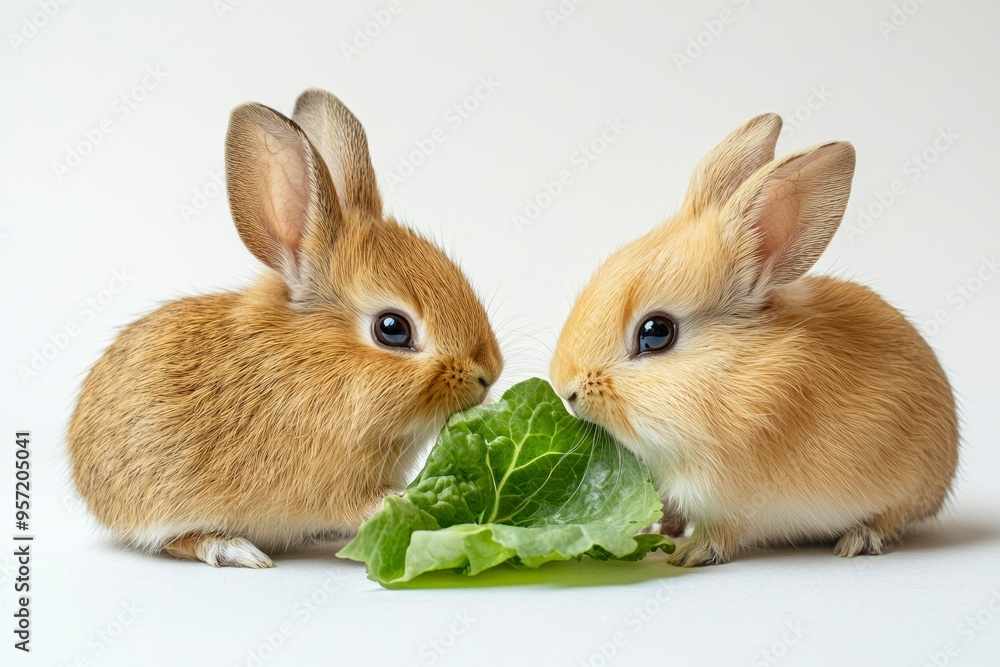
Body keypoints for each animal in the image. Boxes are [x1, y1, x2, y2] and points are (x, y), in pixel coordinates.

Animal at [68, 89, 503, 568]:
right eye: (392, 329)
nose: (488, 374)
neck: (318, 364)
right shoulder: (333, 481)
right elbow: (364, 504)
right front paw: (411, 502)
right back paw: (235, 550)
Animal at [550, 113, 958, 566]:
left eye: (656, 333)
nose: (565, 389)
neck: (732, 374)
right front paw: (654, 530)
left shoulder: (730, 501)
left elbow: (722, 535)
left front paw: (689, 555)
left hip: (905, 492)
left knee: (891, 519)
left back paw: (858, 540)